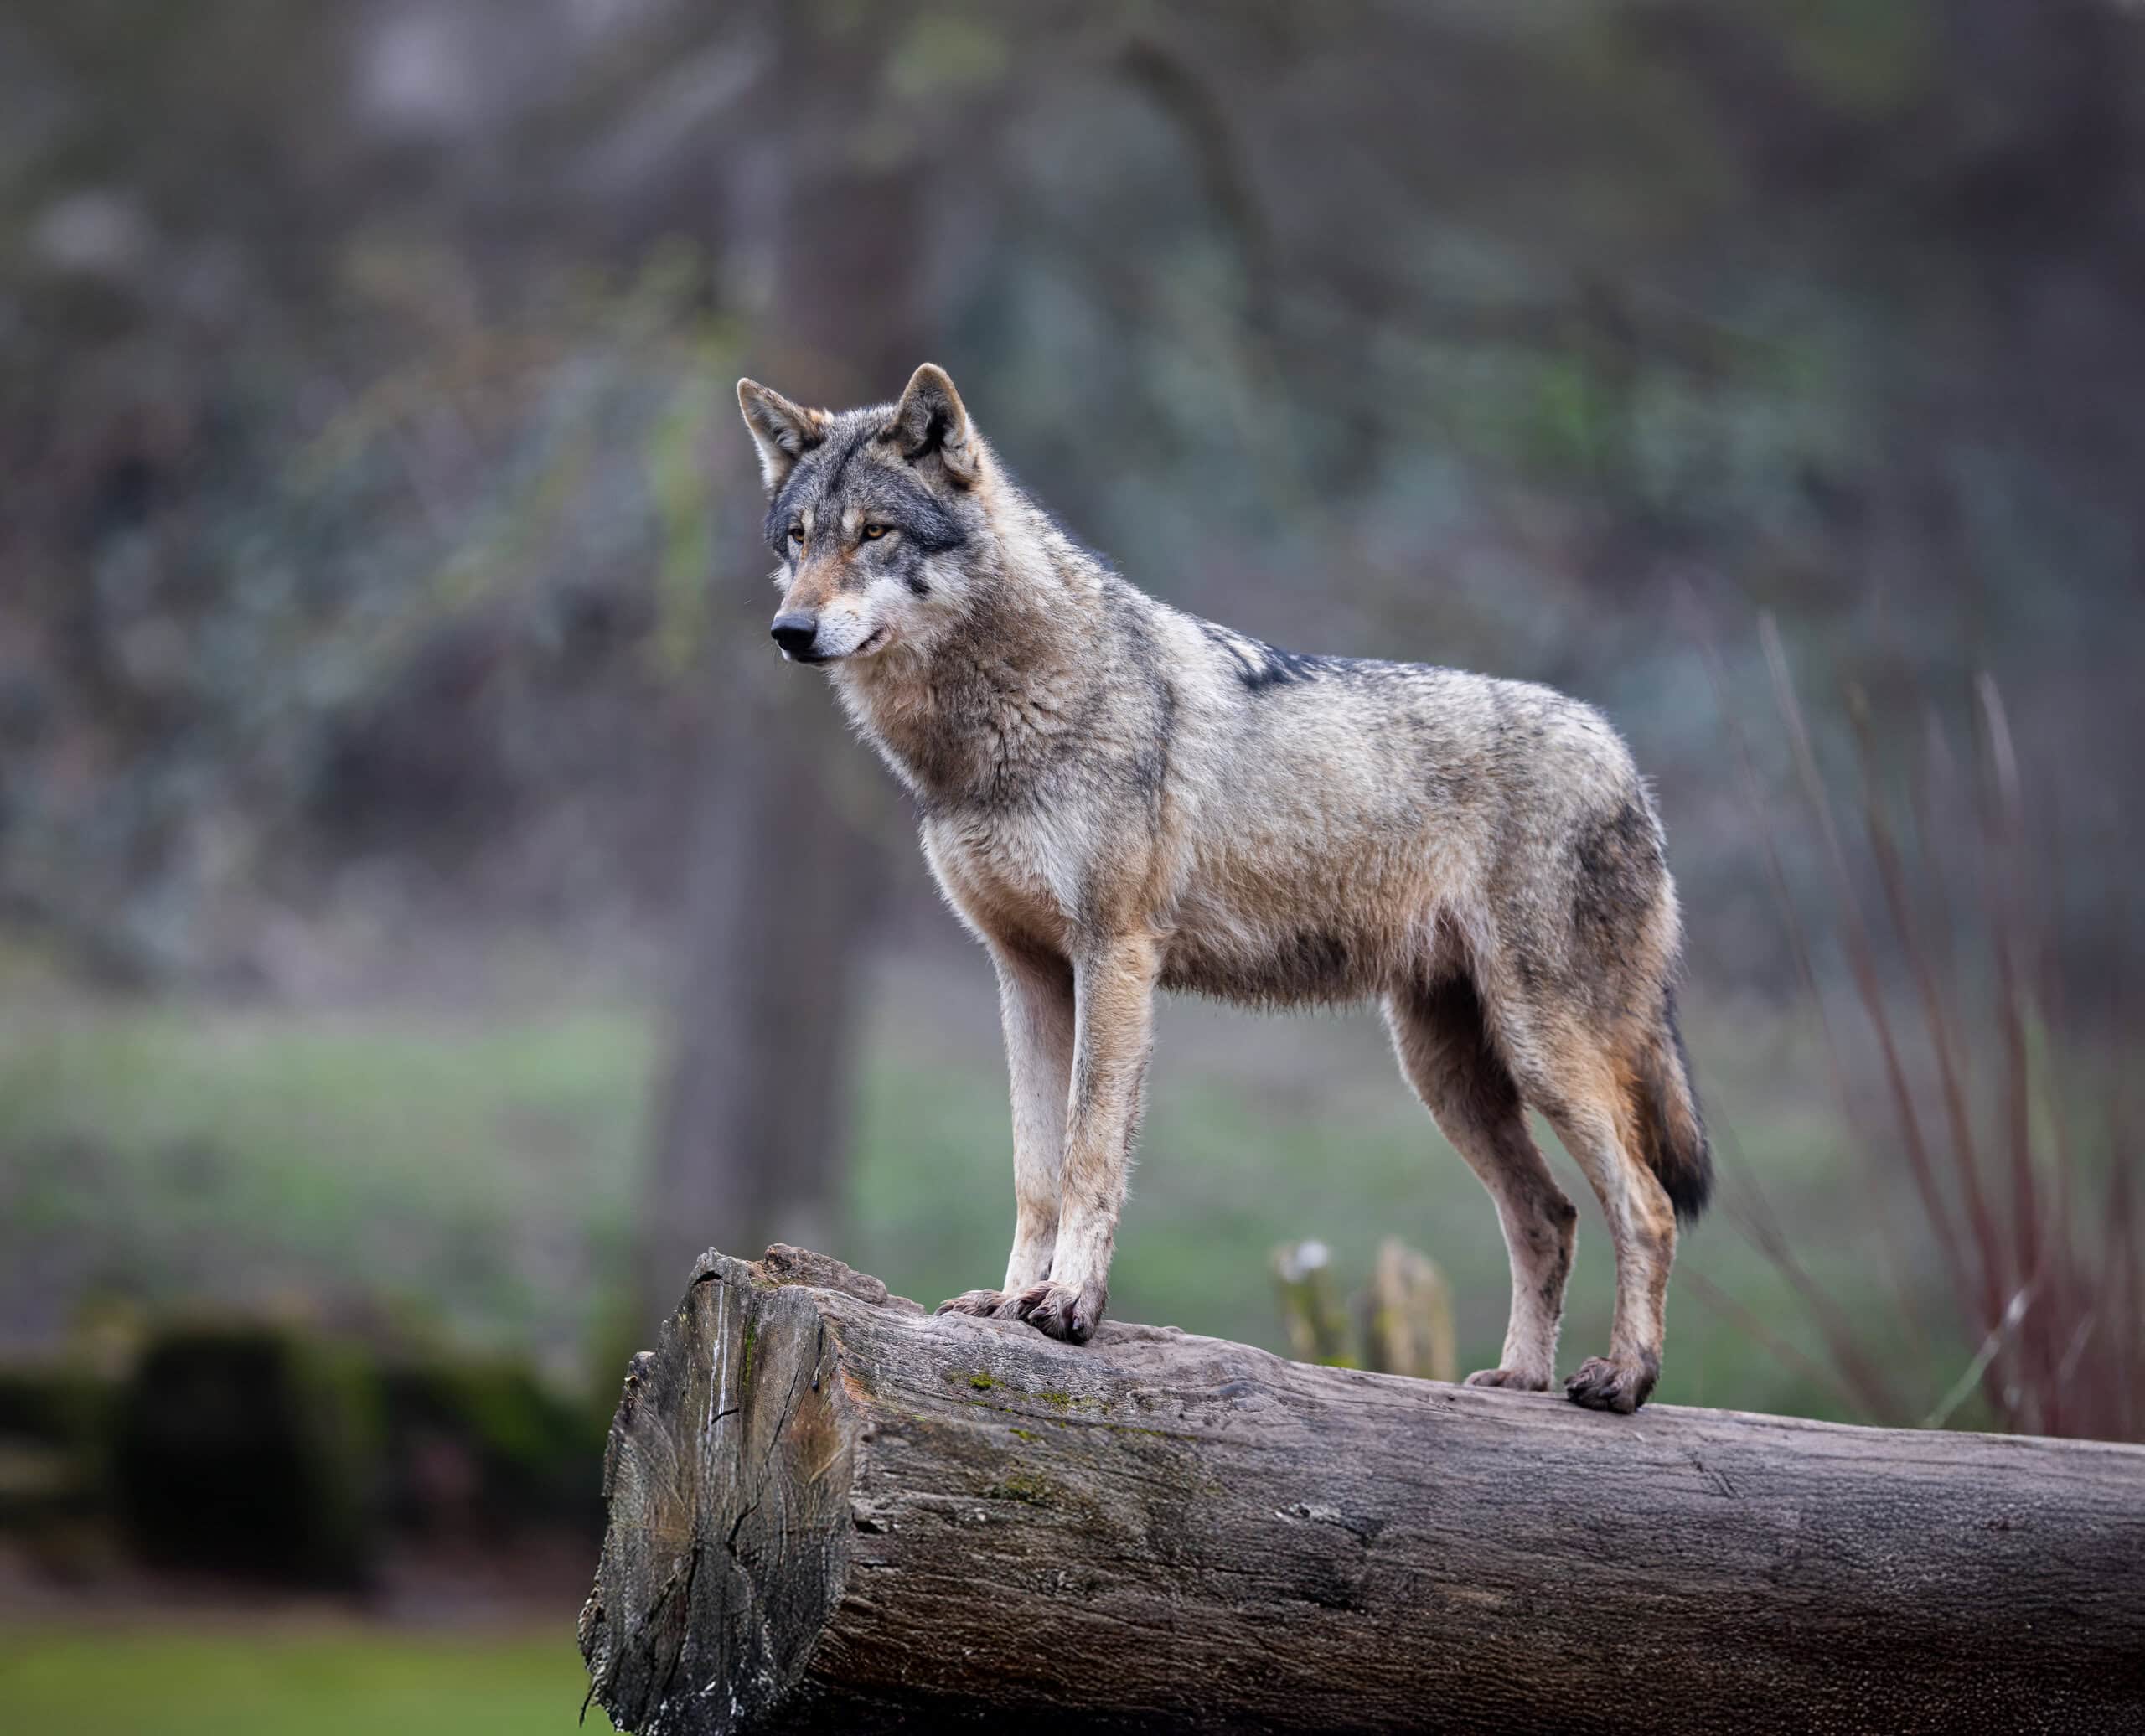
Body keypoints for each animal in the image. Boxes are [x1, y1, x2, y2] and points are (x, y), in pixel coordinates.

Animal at [736, 363, 1711, 1412]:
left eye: (874, 531)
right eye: (798, 538)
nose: (789, 630)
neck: (1001, 719)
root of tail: (1624, 759)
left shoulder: (1114, 957)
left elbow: (1088, 1152)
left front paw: (1068, 1305)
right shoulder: (1024, 972)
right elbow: (1035, 1169)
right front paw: (1005, 1303)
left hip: (1541, 1053)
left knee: (1647, 1205)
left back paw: (1622, 1377)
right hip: (1447, 1070)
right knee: (1550, 1213)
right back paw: (1517, 1382)